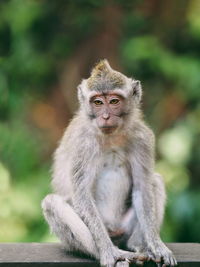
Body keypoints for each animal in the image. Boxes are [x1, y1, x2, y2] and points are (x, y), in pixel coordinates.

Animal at [41, 60, 177, 267]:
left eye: (114, 101)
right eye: (97, 102)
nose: (105, 116)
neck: (111, 136)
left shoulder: (142, 138)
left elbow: (142, 188)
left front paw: (157, 245)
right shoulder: (83, 144)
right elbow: (82, 195)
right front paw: (107, 252)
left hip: (124, 226)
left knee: (155, 181)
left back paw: (139, 245)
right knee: (52, 203)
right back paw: (111, 253)